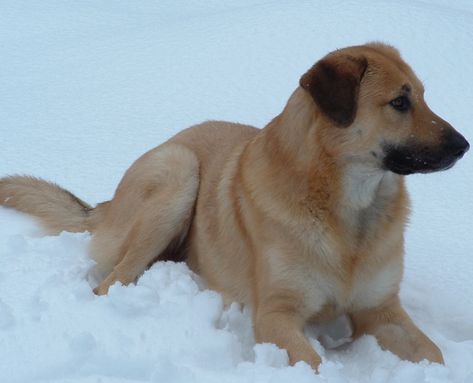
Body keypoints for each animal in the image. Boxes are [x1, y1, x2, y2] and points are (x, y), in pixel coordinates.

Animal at [0, 43, 466, 370]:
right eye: (399, 102)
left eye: (423, 97)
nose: (463, 145)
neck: (350, 213)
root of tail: (107, 203)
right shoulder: (276, 315)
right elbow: (314, 362)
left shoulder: (381, 311)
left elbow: (435, 354)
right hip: (179, 173)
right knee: (110, 283)